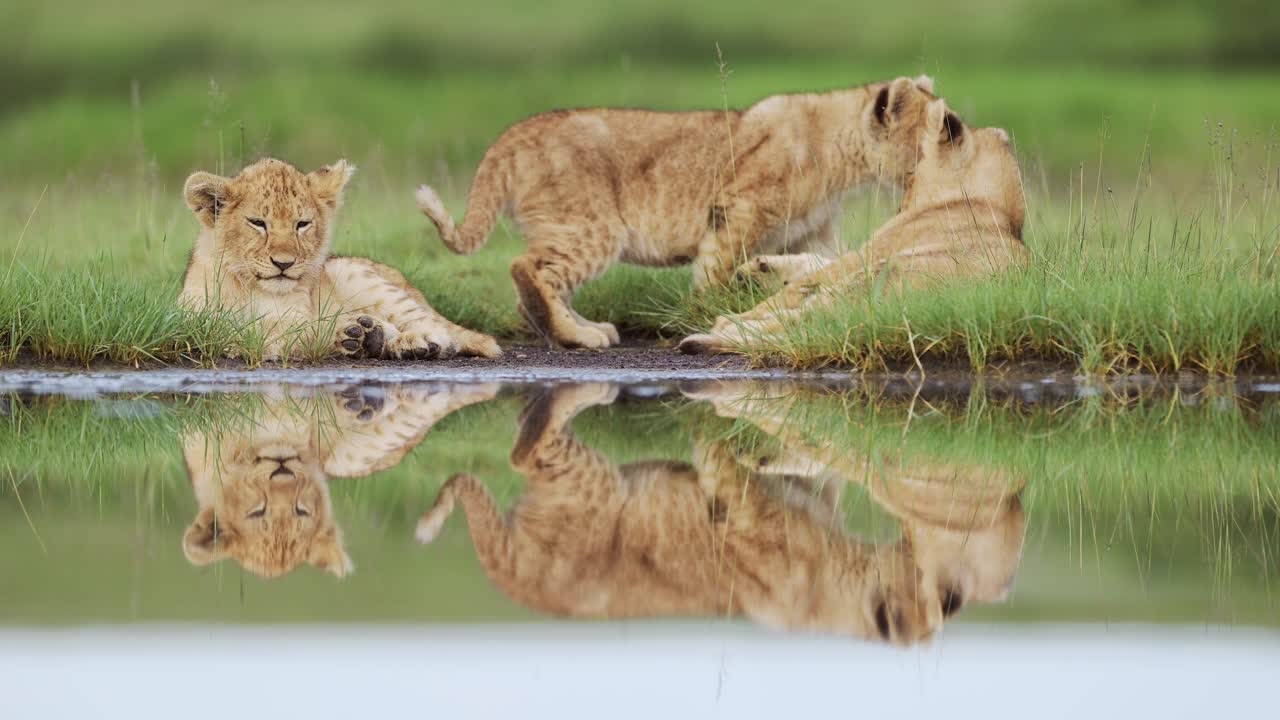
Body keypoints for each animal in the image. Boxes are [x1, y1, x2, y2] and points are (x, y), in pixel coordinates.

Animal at [181, 157, 500, 361]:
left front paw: (348, 333)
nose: (284, 263)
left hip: (354, 272)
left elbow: (285, 329)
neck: (247, 285)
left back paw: (404, 342)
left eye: (302, 224)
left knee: (441, 331)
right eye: (258, 223)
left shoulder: (298, 316)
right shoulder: (192, 316)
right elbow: (229, 326)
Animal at [414, 382, 1024, 645]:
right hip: (572, 492)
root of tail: (512, 582)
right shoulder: (749, 512)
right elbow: (727, 456)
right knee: (503, 468)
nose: (954, 593)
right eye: (937, 604)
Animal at [415, 76, 940, 349]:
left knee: (543, 282)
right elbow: (714, 273)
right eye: (940, 124)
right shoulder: (737, 209)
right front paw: (704, 314)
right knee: (528, 268)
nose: (956, 139)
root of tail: (513, 134)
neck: (842, 155)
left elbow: (829, 264)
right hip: (592, 225)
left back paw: (583, 329)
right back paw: (577, 336)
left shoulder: (811, 233)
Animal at [679, 98, 1030, 354]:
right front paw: (758, 269)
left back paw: (712, 332)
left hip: (869, 278)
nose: (900, 202)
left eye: (912, 174)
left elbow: (802, 281)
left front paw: (751, 290)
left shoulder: (870, 253)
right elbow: (815, 261)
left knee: (791, 321)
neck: (993, 206)